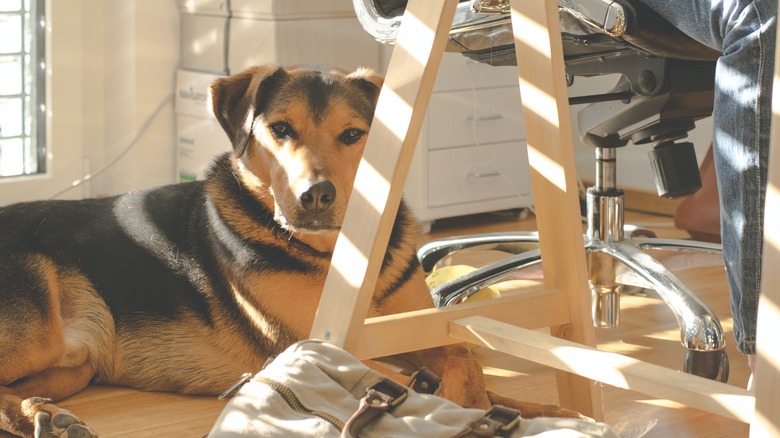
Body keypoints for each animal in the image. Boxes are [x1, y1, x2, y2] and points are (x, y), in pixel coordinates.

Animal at [0, 65, 572, 438]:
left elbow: (464, 357)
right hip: (37, 334)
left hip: (73, 365)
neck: (338, 252)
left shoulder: (415, 329)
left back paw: (44, 415)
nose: (315, 195)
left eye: (354, 135)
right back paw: (43, 419)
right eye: (279, 129)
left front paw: (532, 408)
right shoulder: (316, 345)